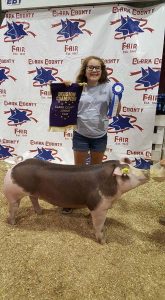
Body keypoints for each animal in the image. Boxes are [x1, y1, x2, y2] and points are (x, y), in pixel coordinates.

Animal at [3, 158, 149, 243]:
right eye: (126, 173)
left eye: (133, 166)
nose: (147, 172)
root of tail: (12, 169)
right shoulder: (99, 206)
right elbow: (99, 225)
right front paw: (103, 241)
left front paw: (88, 219)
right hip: (13, 195)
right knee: (13, 208)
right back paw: (13, 223)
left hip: (33, 192)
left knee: (33, 198)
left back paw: (40, 212)